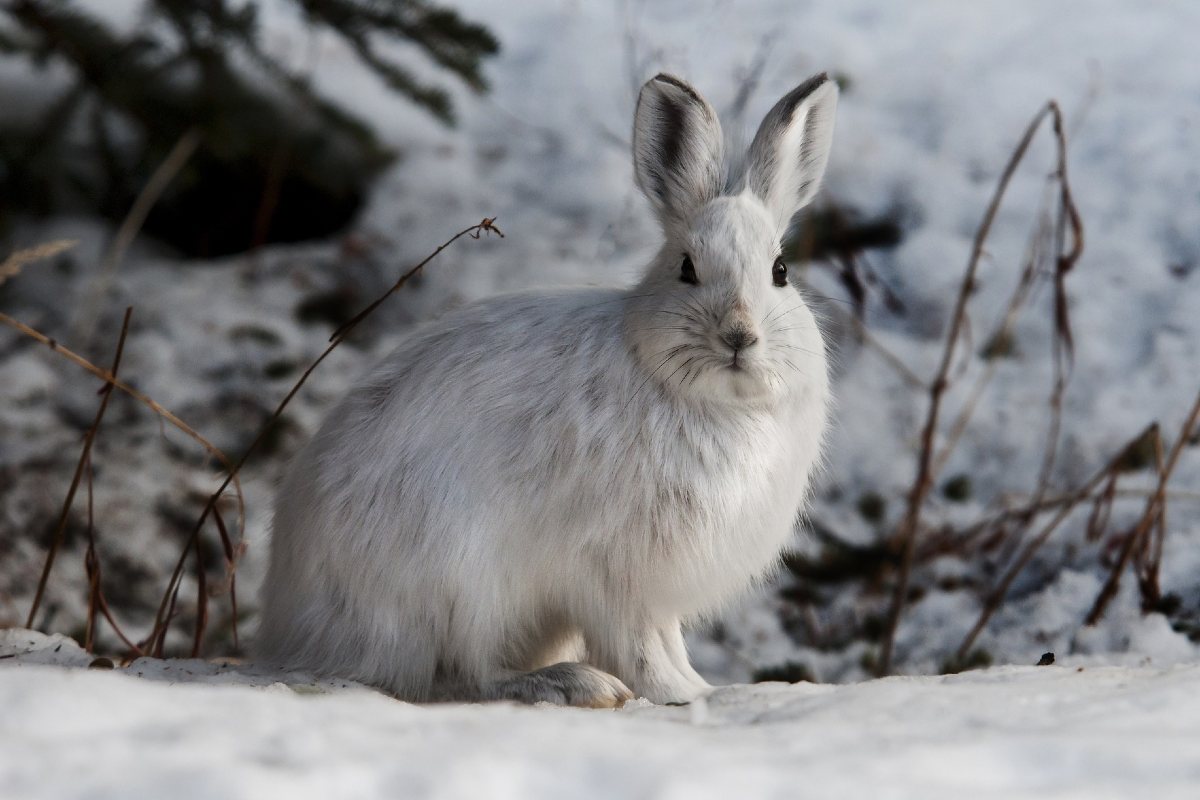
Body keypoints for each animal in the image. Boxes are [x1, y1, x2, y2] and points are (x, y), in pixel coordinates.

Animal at [257, 71, 838, 707]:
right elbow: (639, 644)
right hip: (461, 581)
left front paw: (701, 687)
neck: (713, 401)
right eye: (687, 268)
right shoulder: (613, 571)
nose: (738, 336)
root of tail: (297, 630)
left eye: (780, 272)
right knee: (466, 675)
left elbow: (667, 640)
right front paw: (676, 694)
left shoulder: (651, 589)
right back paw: (573, 684)